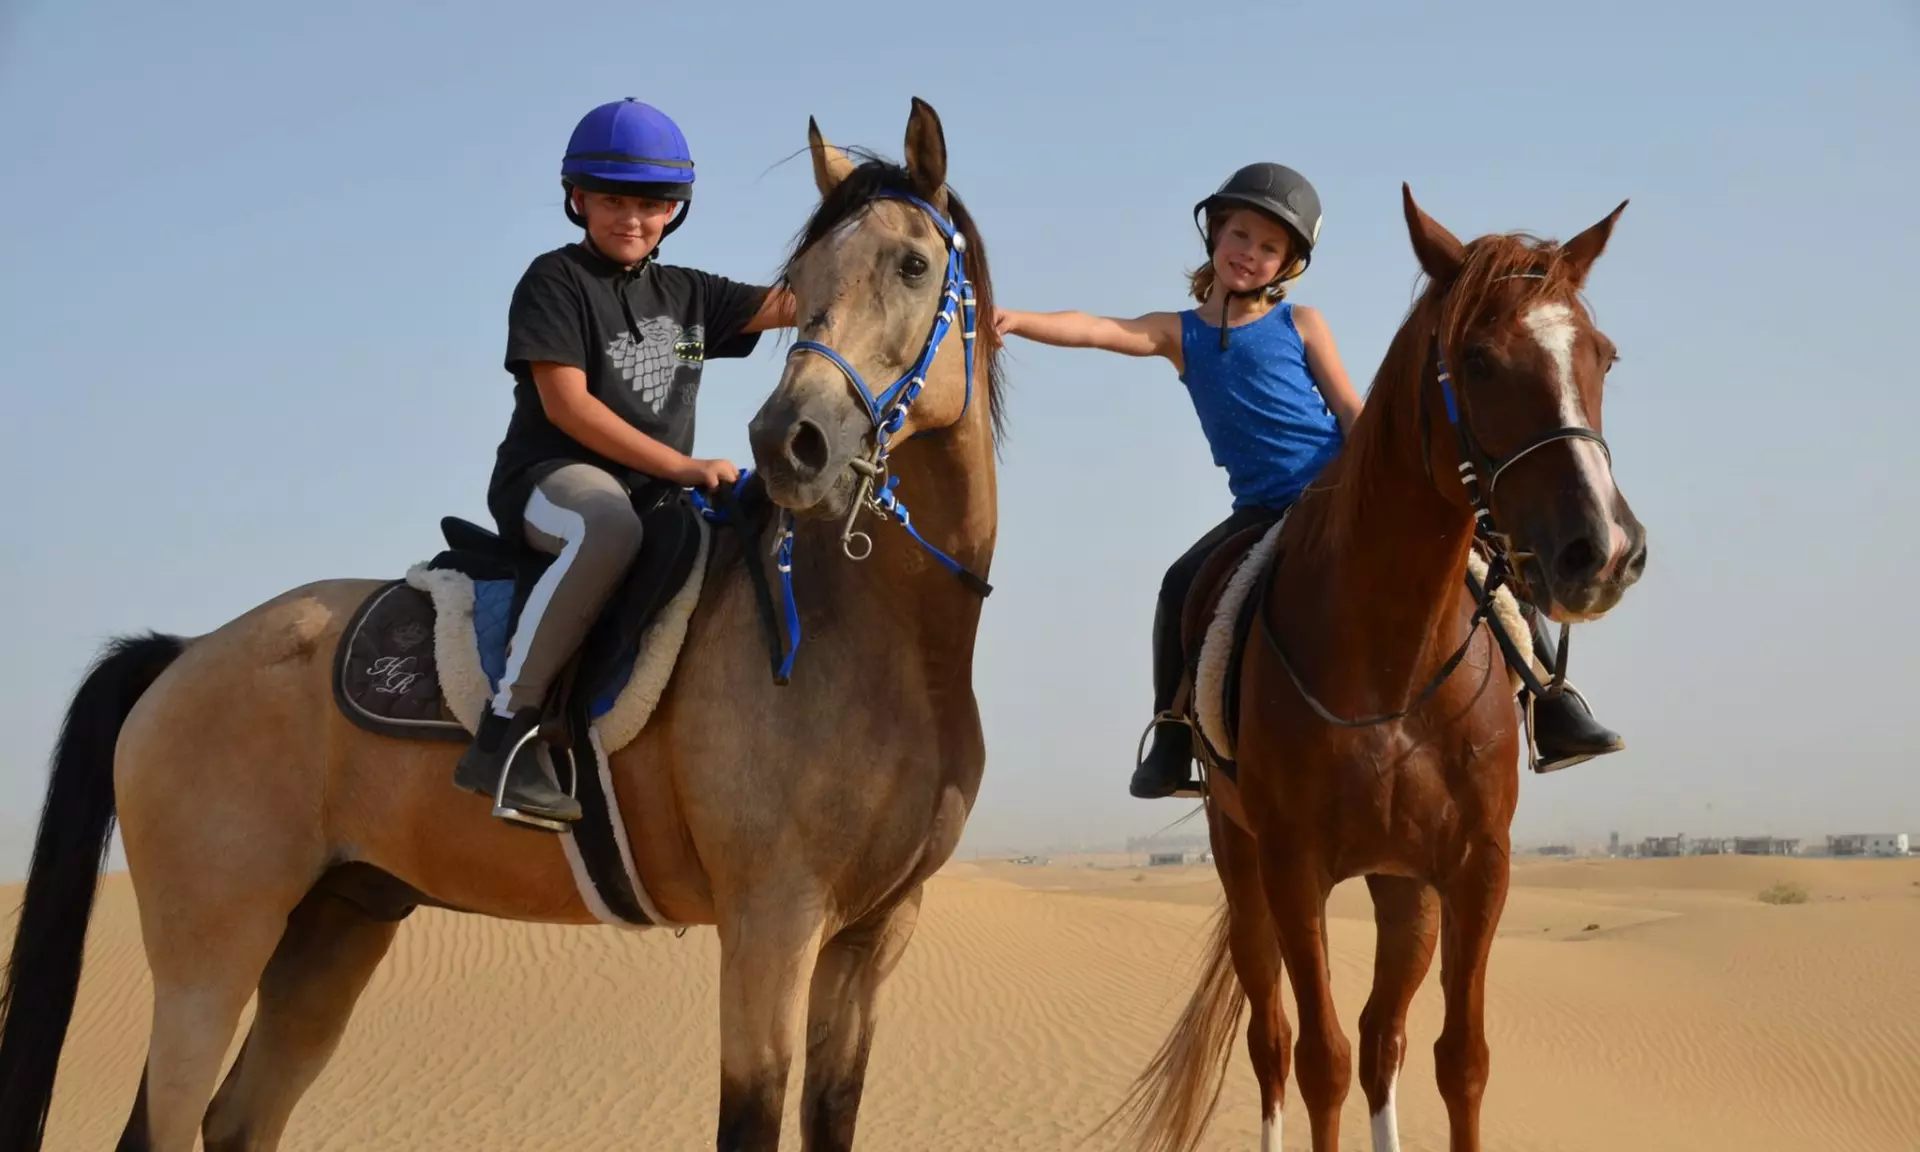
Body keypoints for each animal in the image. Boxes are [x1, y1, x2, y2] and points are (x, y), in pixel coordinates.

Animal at [0, 97, 1003, 1152]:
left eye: (912, 265)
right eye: (798, 284)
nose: (788, 444)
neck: (884, 645)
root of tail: (186, 657)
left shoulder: (871, 935)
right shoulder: (772, 924)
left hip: (336, 926)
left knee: (239, 1118)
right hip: (213, 949)